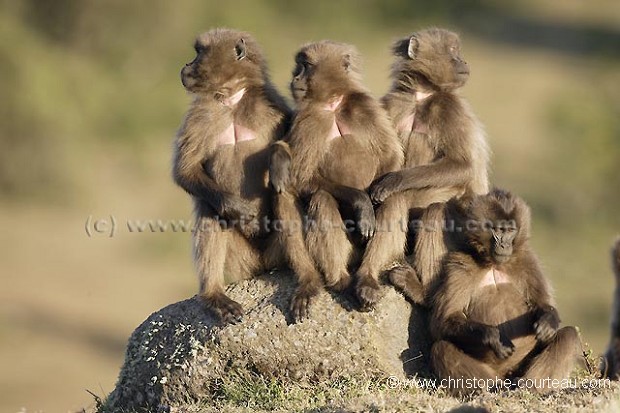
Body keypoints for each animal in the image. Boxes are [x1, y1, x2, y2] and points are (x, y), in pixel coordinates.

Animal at [173, 29, 292, 324]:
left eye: (199, 52)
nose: (185, 67)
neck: (232, 99)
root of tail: (263, 267)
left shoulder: (273, 105)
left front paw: (279, 160)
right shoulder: (200, 115)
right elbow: (185, 170)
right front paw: (237, 209)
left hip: (274, 252)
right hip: (242, 261)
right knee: (210, 208)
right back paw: (214, 295)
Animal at [354, 27, 490, 308]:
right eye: (453, 51)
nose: (464, 62)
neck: (421, 96)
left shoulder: (449, 108)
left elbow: (463, 166)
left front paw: (391, 181)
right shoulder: (393, 104)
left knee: (432, 211)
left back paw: (421, 292)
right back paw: (367, 278)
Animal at [426, 188, 580, 394]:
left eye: (511, 230)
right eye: (499, 230)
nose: (505, 245)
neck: (493, 264)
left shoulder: (527, 260)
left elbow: (543, 305)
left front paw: (547, 322)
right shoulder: (460, 266)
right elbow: (442, 322)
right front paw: (493, 337)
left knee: (569, 334)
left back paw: (526, 386)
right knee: (441, 348)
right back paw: (492, 389)